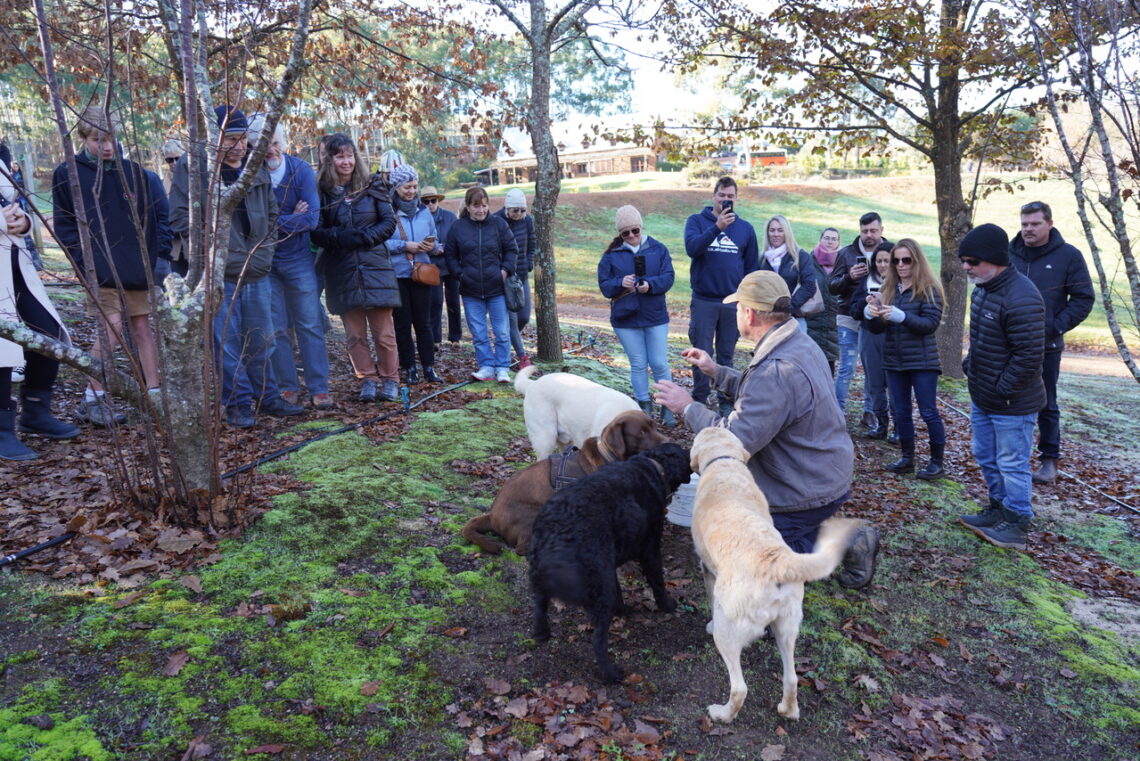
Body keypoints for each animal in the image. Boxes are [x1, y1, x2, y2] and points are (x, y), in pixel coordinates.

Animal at [526, 439, 693, 683]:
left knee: (539, 605)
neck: (652, 466)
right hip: (599, 585)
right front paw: (668, 605)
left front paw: (622, 609)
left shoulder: (611, 562)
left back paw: (541, 633)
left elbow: (619, 589)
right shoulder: (650, 549)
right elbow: (658, 583)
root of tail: (555, 530)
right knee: (598, 641)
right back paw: (611, 673)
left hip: (545, 575)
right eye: (684, 452)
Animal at [684, 426, 857, 724]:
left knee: (740, 688)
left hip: (728, 632)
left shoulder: (707, 570)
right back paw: (788, 710)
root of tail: (776, 560)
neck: (724, 461)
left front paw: (707, 623)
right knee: (792, 678)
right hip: (787, 628)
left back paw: (722, 714)